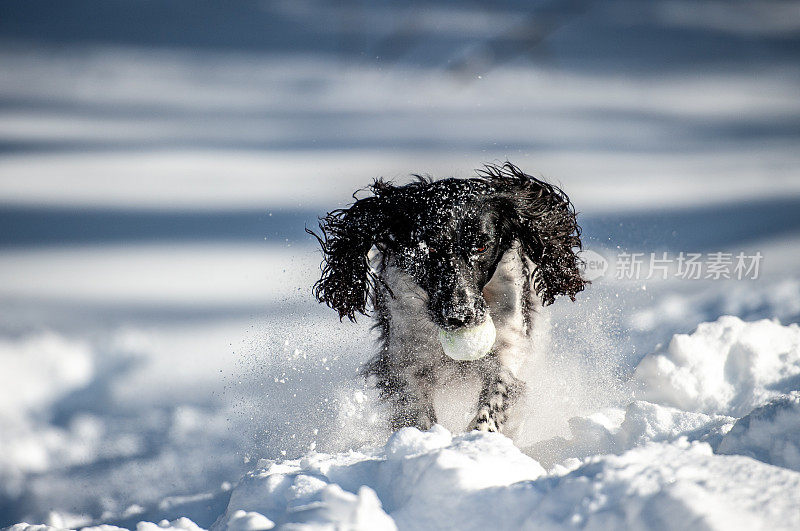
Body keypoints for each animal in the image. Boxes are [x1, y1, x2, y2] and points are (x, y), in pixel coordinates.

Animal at [310, 164, 584, 434]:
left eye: (481, 247)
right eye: (429, 248)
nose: (460, 316)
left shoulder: (508, 348)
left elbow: (495, 397)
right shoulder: (405, 362)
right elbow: (416, 411)